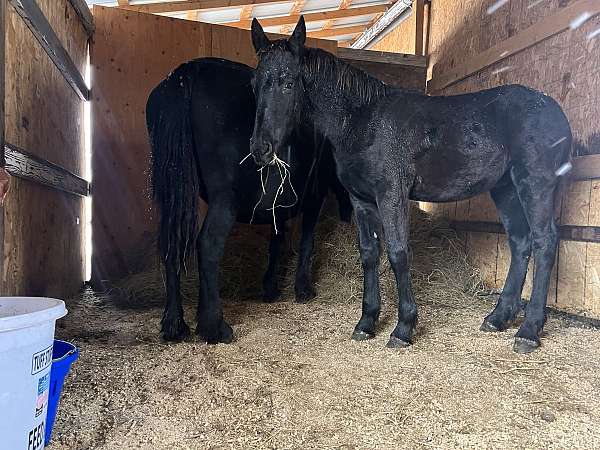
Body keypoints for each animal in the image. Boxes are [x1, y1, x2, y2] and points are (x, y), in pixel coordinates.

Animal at [146, 58, 352, 342]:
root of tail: (187, 73)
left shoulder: (279, 203)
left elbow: (277, 240)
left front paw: (271, 287)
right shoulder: (314, 197)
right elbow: (306, 241)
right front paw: (303, 288)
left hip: (173, 196)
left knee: (172, 244)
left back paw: (175, 324)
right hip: (224, 201)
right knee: (208, 244)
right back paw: (215, 326)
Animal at [248, 18, 572, 356]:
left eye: (288, 82)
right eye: (254, 83)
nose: (260, 148)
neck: (363, 122)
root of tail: (555, 110)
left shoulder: (392, 195)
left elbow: (398, 253)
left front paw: (403, 328)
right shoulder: (361, 200)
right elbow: (369, 254)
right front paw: (367, 322)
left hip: (535, 183)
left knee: (544, 241)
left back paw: (529, 330)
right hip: (505, 188)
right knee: (520, 243)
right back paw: (498, 318)